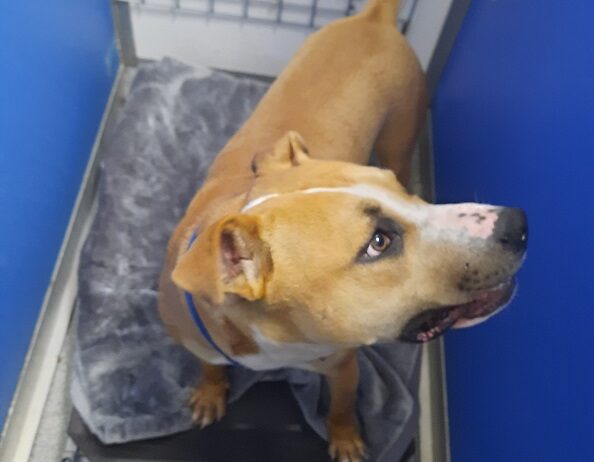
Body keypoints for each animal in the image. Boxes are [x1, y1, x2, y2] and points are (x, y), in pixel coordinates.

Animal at [158, 0, 528, 460]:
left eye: (402, 193)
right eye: (378, 243)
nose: (518, 223)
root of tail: (373, 18)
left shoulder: (345, 365)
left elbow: (340, 406)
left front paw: (346, 438)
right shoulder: (195, 341)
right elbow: (209, 365)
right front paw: (210, 392)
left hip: (399, 134)